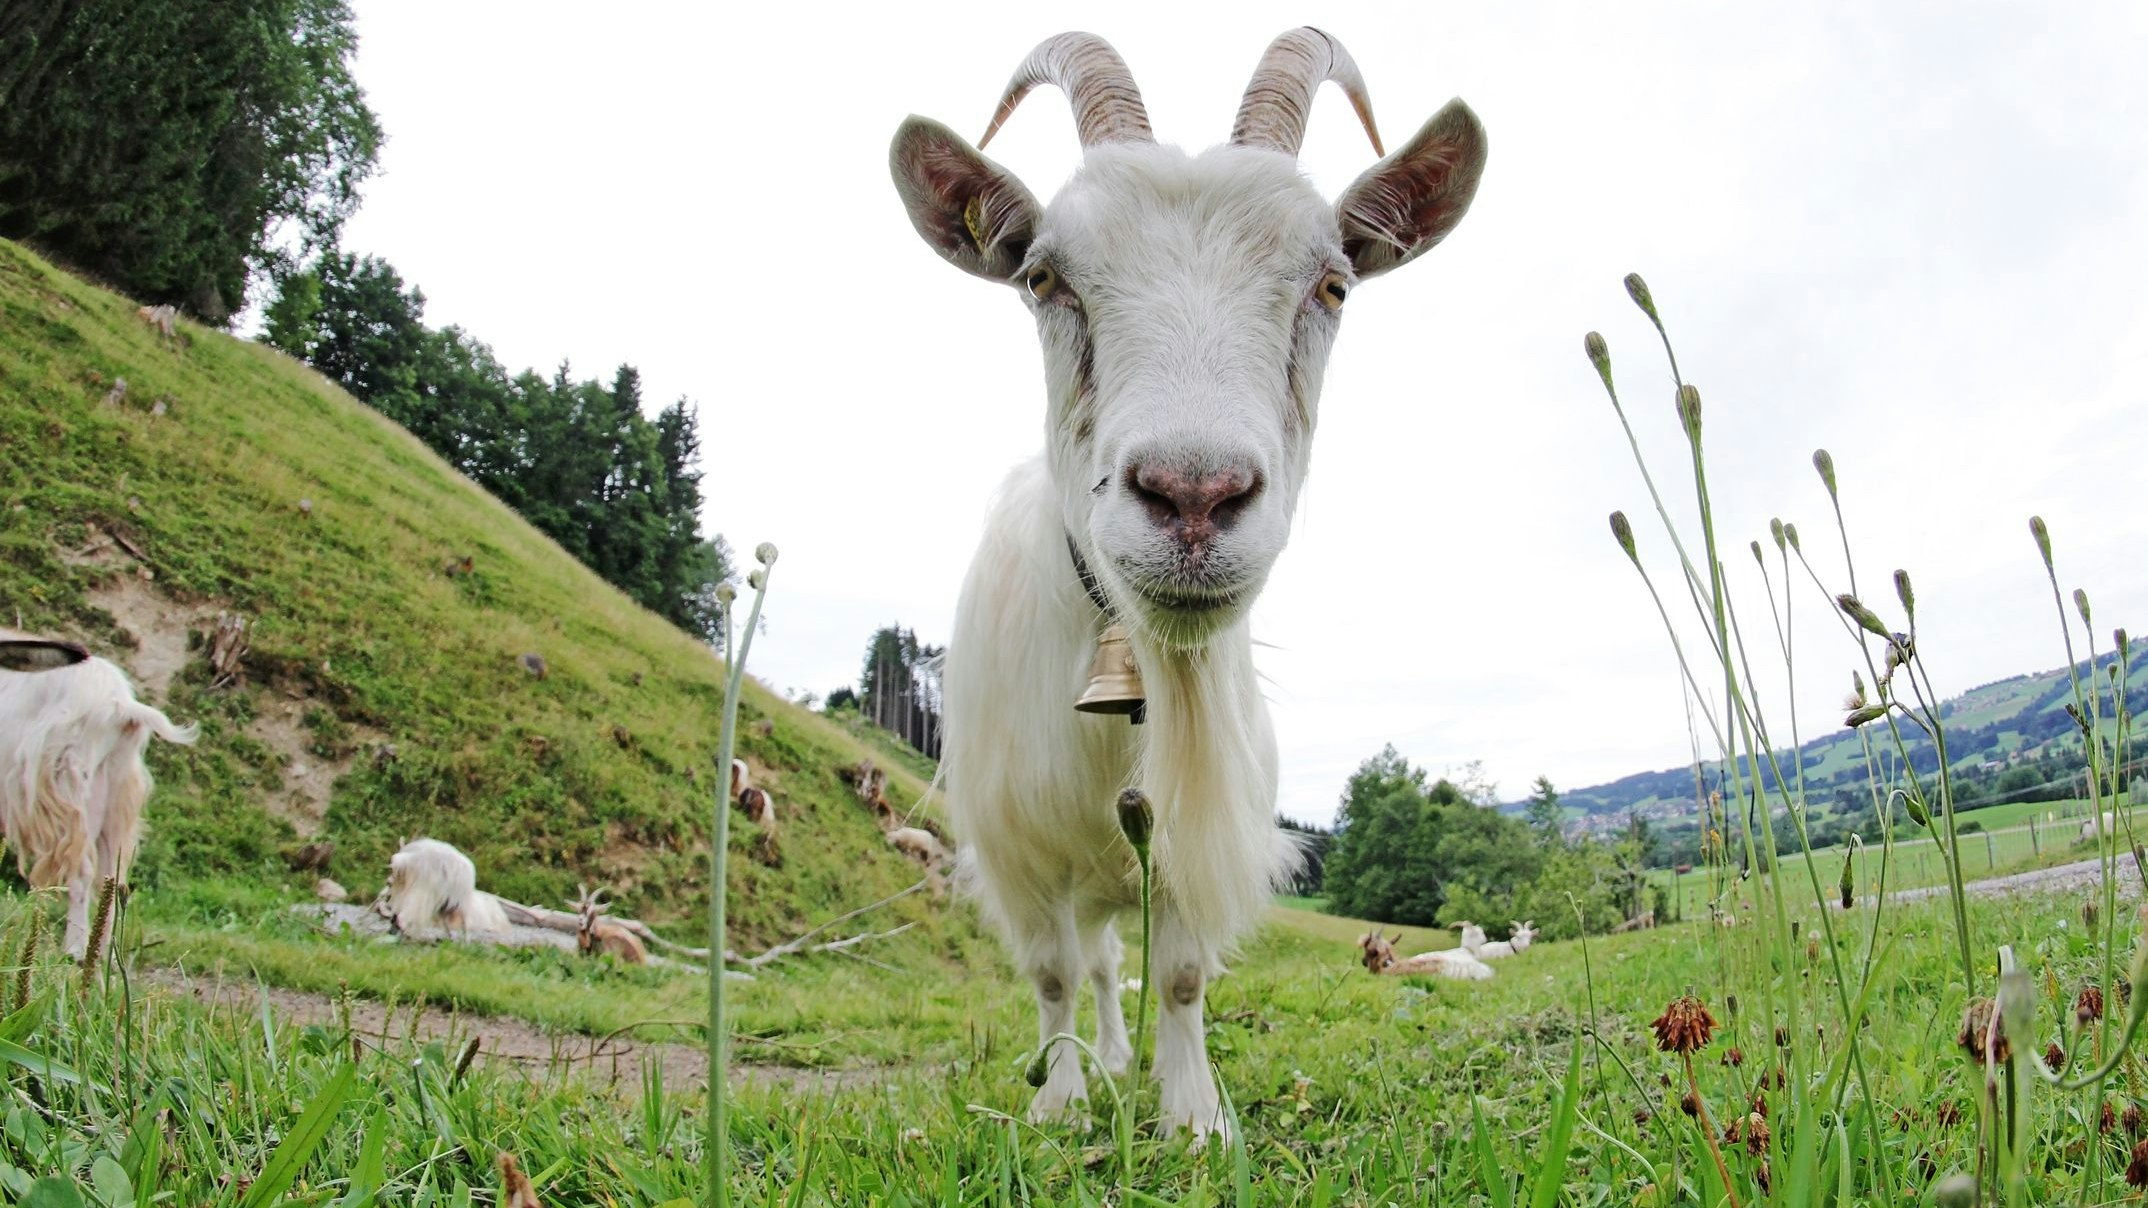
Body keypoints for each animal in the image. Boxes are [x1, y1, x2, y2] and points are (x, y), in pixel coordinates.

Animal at [1, 636, 197, 954]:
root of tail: (121, 706)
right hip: (115, 791)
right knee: (113, 876)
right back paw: (103, 953)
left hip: (70, 784)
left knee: (82, 870)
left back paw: (76, 950)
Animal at [884, 30, 1477, 1134]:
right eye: (1042, 277)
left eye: (1333, 284)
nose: (1194, 497)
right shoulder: (1016, 847)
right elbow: (1050, 974)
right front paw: (1060, 1102)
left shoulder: (1198, 831)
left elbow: (1185, 973)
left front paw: (1193, 1114)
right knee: (1093, 959)